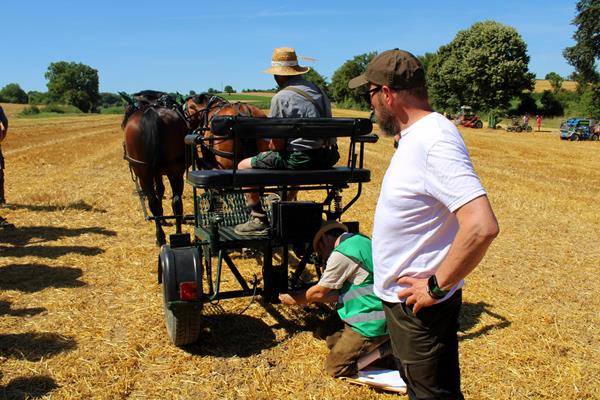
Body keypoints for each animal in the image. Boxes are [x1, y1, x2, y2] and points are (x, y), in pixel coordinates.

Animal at [120, 92, 190, 245]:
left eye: (127, 109)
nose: (122, 124)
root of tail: (152, 114)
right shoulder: (160, 172)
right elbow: (161, 191)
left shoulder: (153, 173)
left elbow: (158, 192)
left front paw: (163, 221)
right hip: (175, 171)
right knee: (176, 201)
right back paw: (178, 234)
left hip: (143, 173)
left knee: (153, 202)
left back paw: (160, 237)